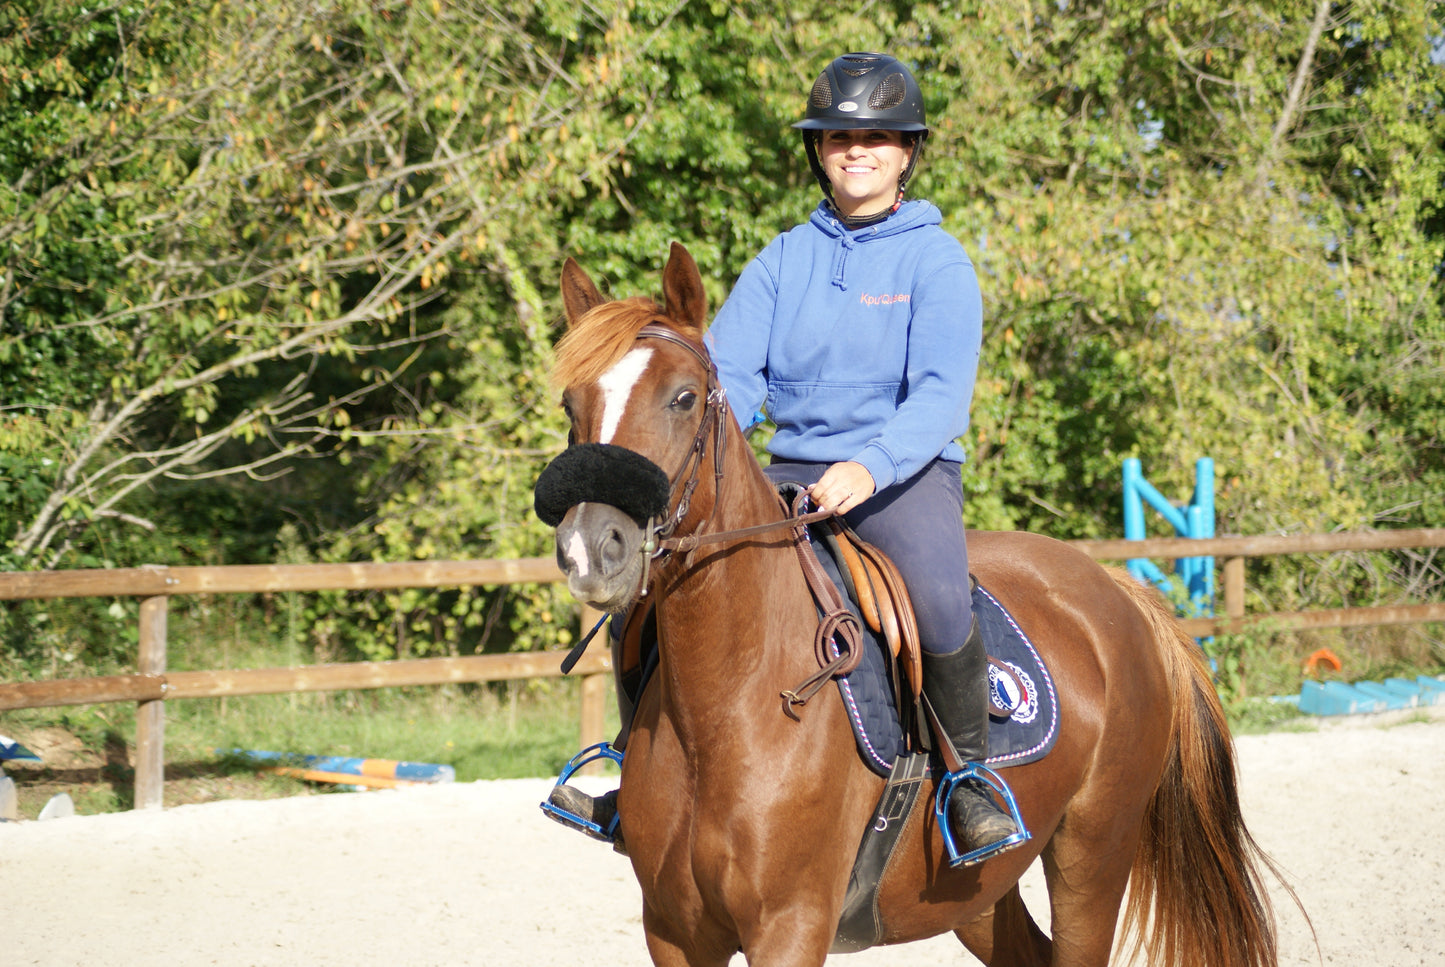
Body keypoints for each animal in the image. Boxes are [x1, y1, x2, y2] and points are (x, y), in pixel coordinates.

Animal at [537, 237, 1283, 959]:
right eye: (573, 404)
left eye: (684, 397)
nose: (591, 548)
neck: (726, 704)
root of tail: (1119, 593)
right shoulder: (675, 929)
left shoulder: (789, 926)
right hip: (968, 892)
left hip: (1091, 860)